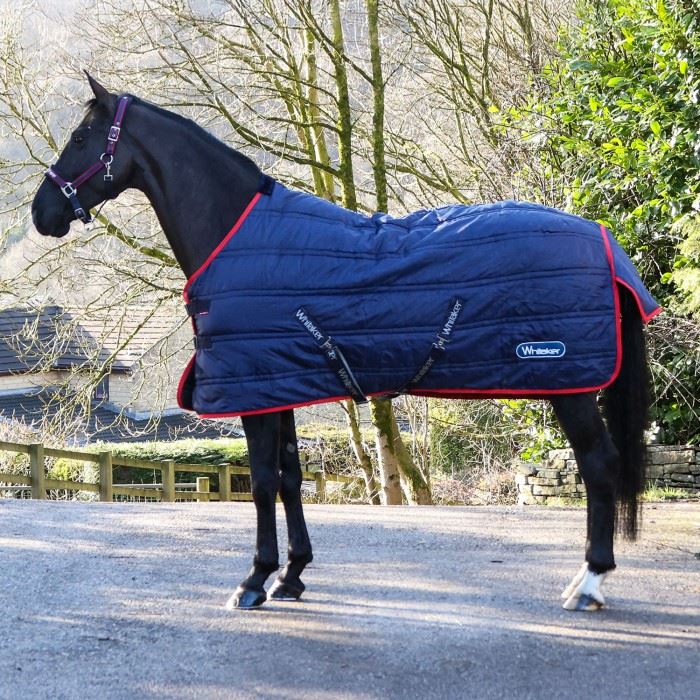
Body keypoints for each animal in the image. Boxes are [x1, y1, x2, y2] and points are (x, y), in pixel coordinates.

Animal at [31, 75, 658, 612]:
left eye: (82, 138)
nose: (42, 213)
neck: (237, 234)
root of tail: (601, 237)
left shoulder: (255, 392)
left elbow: (262, 484)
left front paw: (254, 580)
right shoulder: (278, 384)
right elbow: (289, 479)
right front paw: (292, 575)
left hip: (570, 385)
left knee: (598, 466)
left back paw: (589, 582)